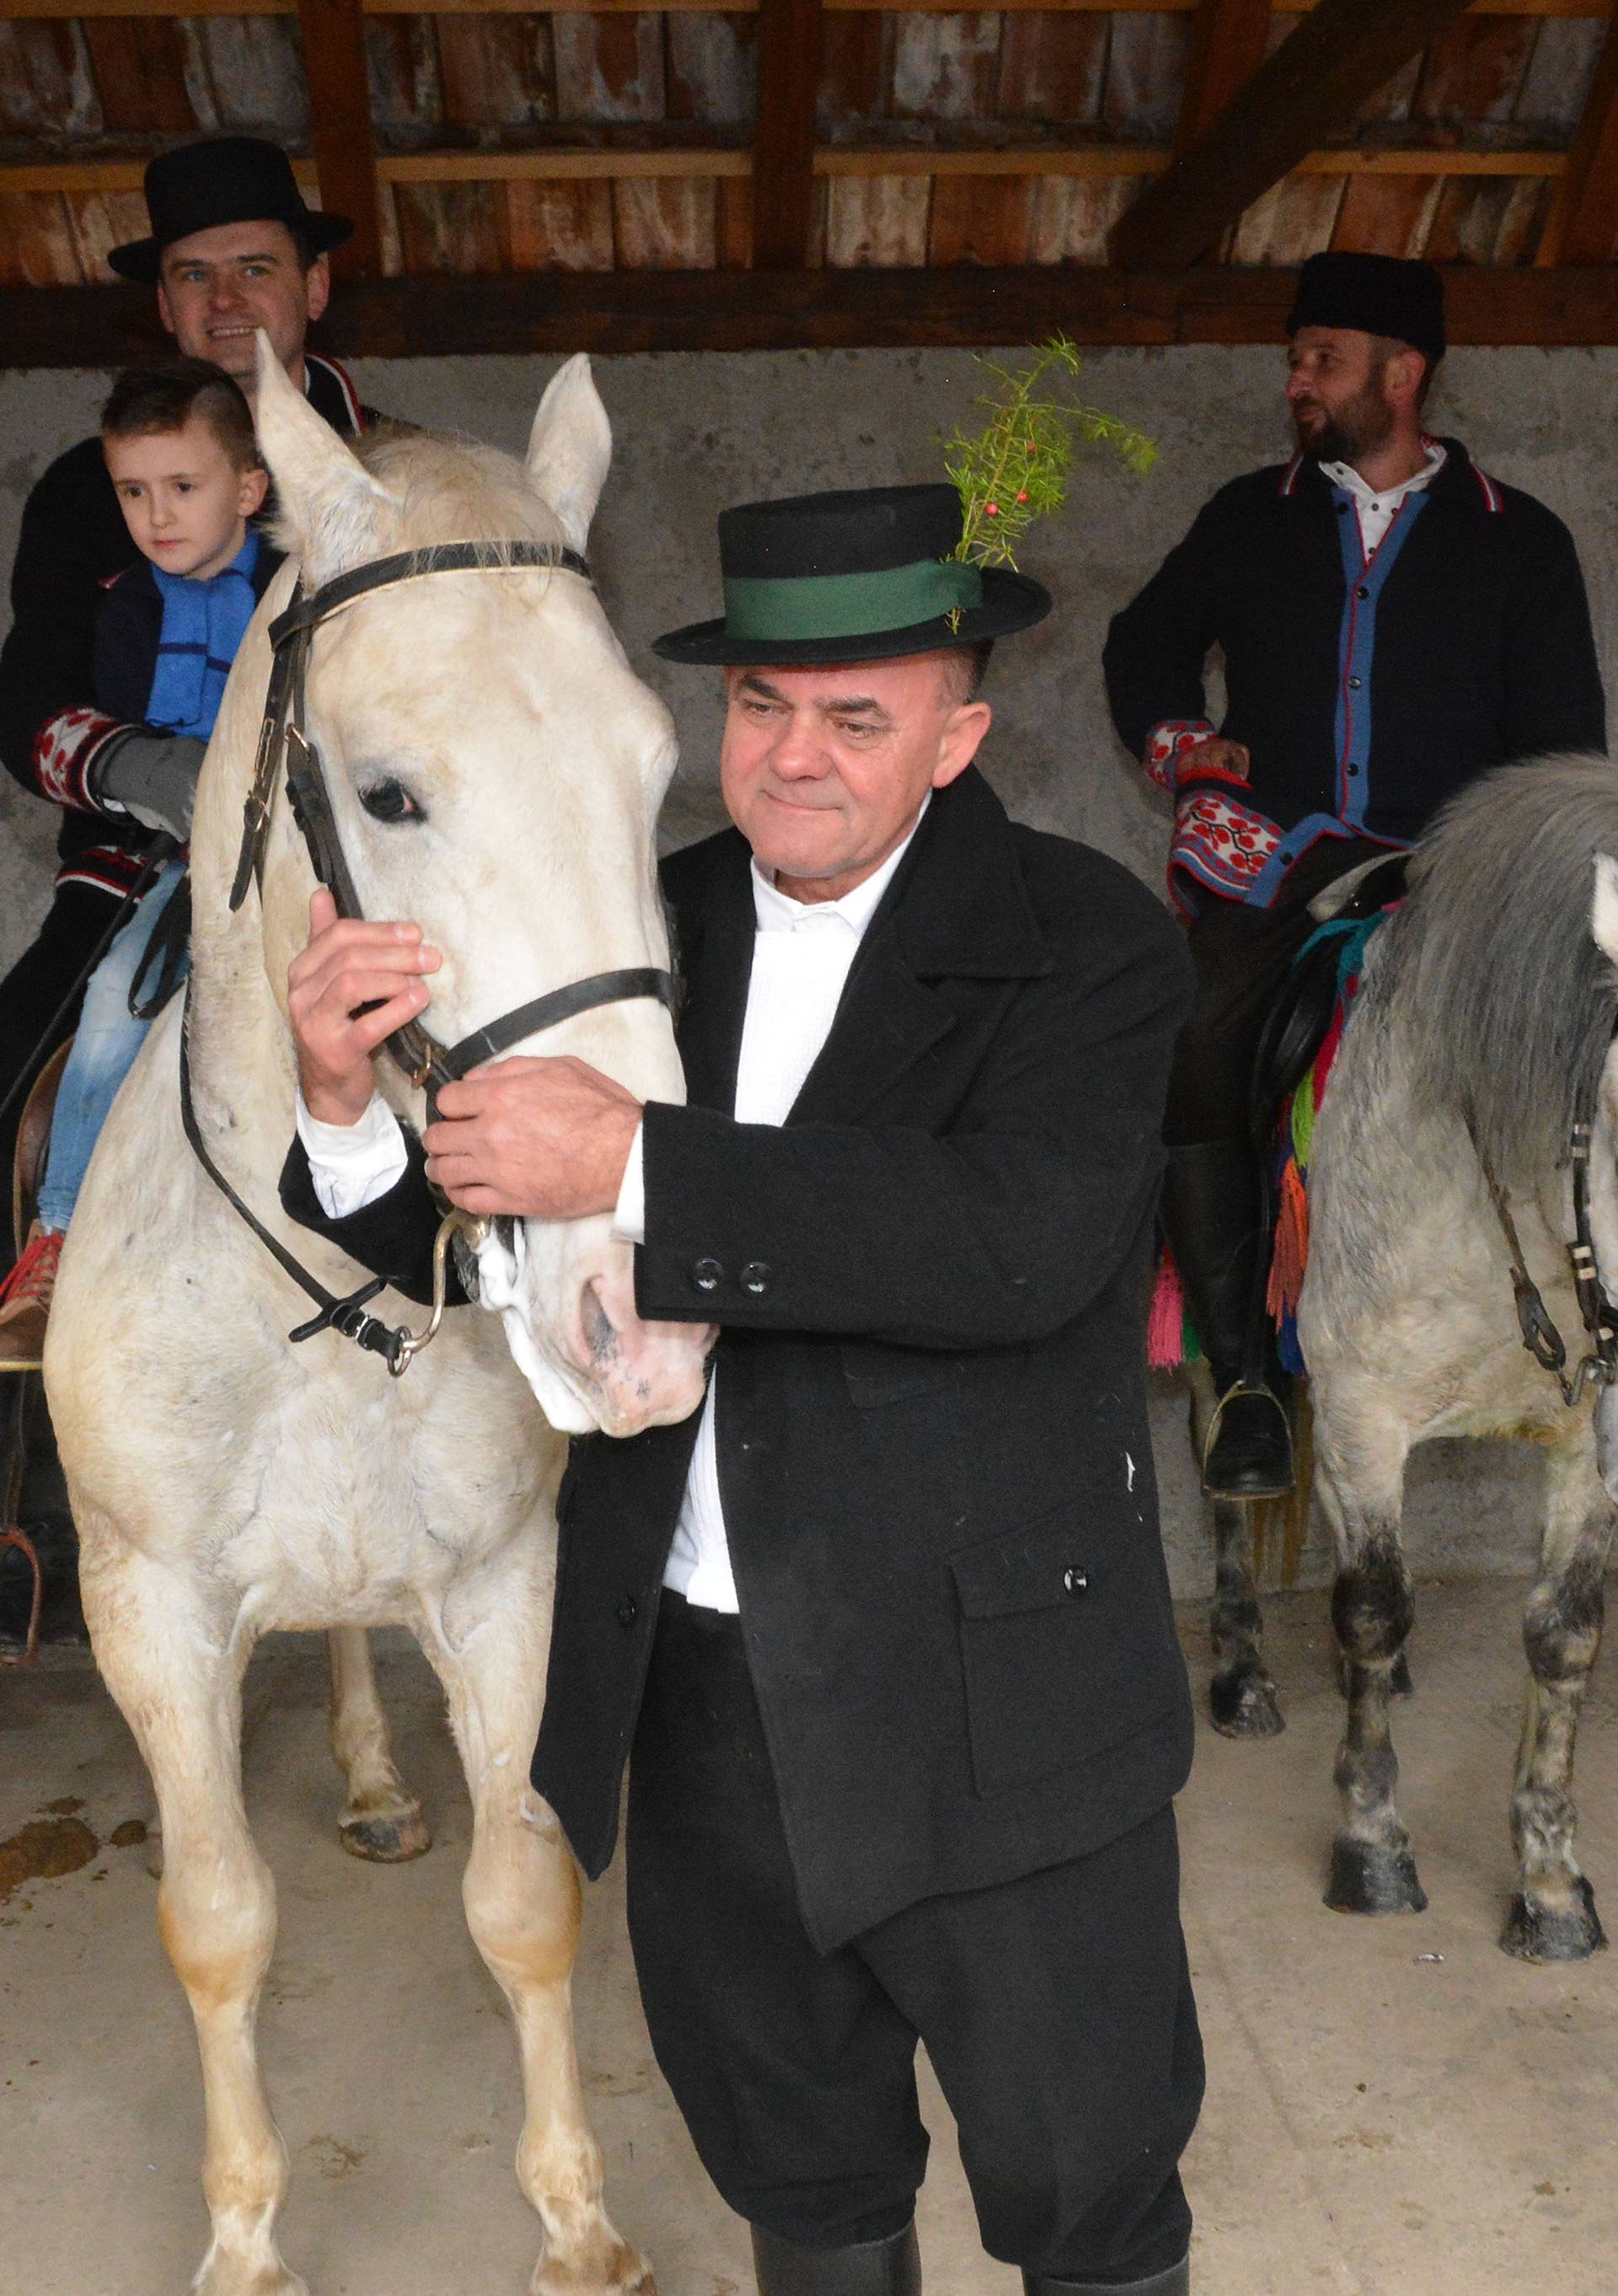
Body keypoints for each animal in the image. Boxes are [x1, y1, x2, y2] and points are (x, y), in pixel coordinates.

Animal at [44, 344, 711, 2296]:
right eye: (395, 795)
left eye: (655, 772)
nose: (633, 1305)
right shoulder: (148, 1612)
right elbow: (215, 1920)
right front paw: (248, 2230)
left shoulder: (505, 1588)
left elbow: (527, 1894)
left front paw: (574, 2210)